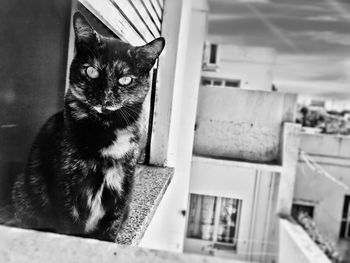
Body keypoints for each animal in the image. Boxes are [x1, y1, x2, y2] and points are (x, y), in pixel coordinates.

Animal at [9, 12, 165, 242]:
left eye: (125, 80)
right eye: (91, 71)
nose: (105, 96)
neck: (104, 130)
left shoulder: (123, 184)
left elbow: (112, 224)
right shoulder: (66, 185)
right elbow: (70, 226)